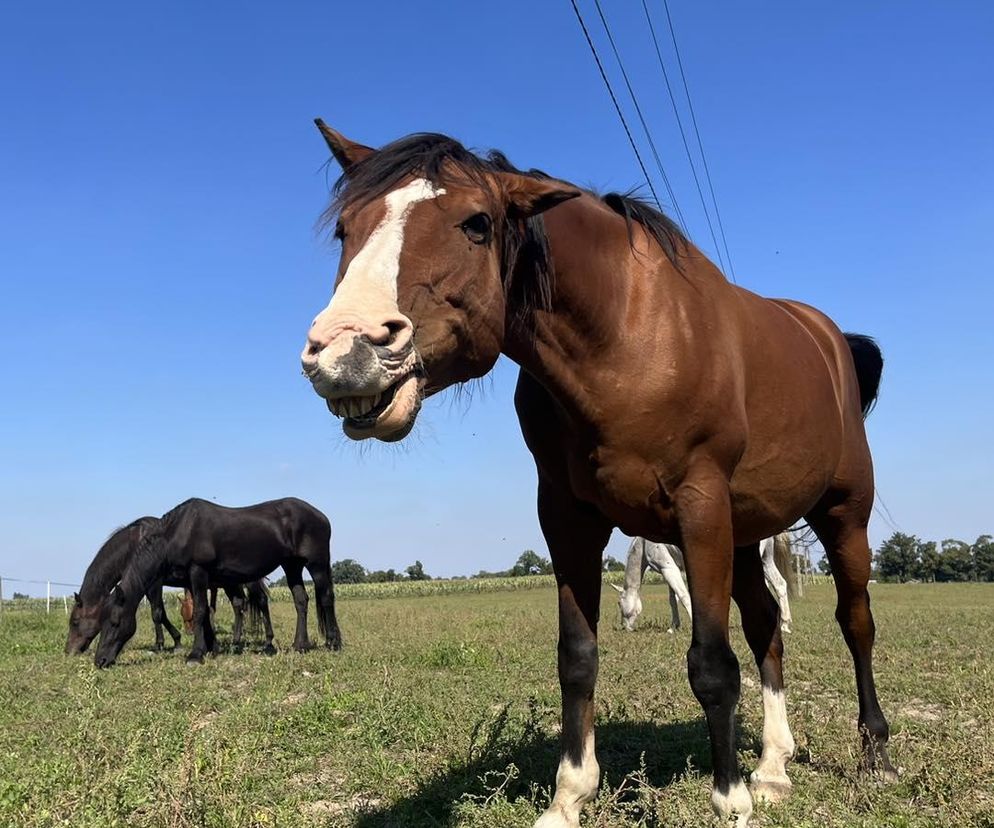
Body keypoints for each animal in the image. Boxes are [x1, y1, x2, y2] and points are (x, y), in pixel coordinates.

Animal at [66, 516, 278, 656]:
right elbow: (163, 613)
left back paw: (268, 642)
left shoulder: (155, 583)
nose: (69, 651)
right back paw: (236, 641)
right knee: (238, 604)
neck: (136, 543)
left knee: (260, 601)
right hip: (230, 583)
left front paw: (164, 644)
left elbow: (157, 613)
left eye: (75, 621)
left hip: (247, 580)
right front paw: (177, 640)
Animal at [93, 498, 340, 668]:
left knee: (326, 597)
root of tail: (321, 516)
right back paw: (300, 645)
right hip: (292, 566)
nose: (100, 660)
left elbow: (201, 611)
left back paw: (333, 642)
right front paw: (210, 648)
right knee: (301, 600)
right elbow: (203, 612)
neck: (179, 532)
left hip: (317, 564)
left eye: (115, 622)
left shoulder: (198, 572)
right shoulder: (193, 580)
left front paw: (195, 654)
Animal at [608, 532, 796, 632]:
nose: (626, 627)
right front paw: (673, 627)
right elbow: (672, 599)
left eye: (619, 603)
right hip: (766, 560)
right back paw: (784, 625)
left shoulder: (668, 568)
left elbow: (683, 596)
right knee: (780, 585)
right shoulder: (669, 569)